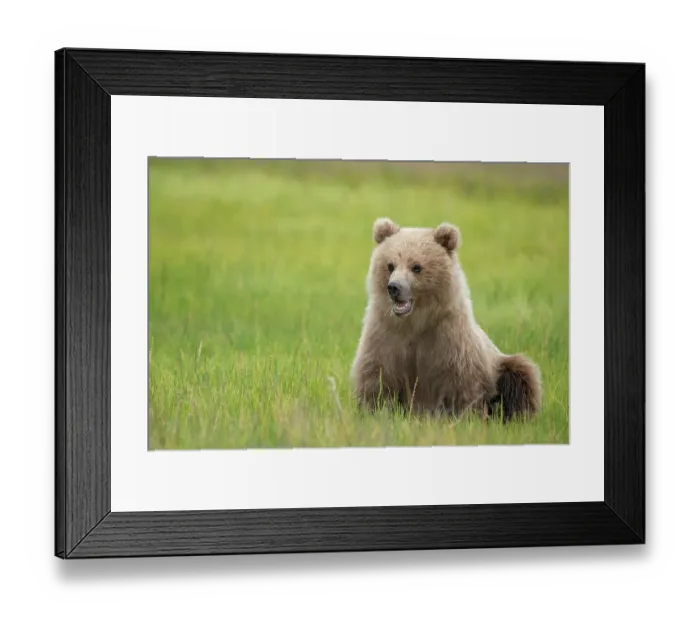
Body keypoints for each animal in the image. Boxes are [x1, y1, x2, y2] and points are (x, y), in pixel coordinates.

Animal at [350, 217, 542, 422]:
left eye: (416, 266)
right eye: (390, 265)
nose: (394, 287)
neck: (415, 322)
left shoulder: (449, 340)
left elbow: (460, 383)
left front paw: (462, 417)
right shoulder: (386, 336)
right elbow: (376, 376)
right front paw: (375, 411)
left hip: (502, 365)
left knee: (521, 375)